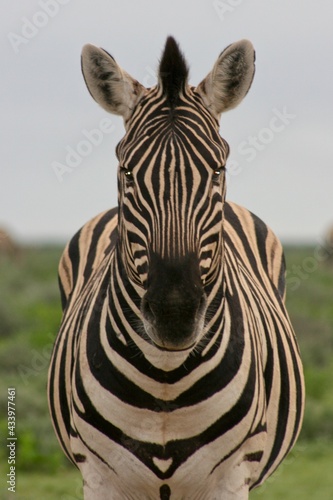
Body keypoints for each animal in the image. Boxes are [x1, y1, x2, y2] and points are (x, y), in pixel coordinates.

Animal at [47, 37, 304, 498]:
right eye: (127, 172)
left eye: (218, 170)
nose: (174, 314)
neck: (165, 379)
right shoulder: (100, 478)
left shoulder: (231, 478)